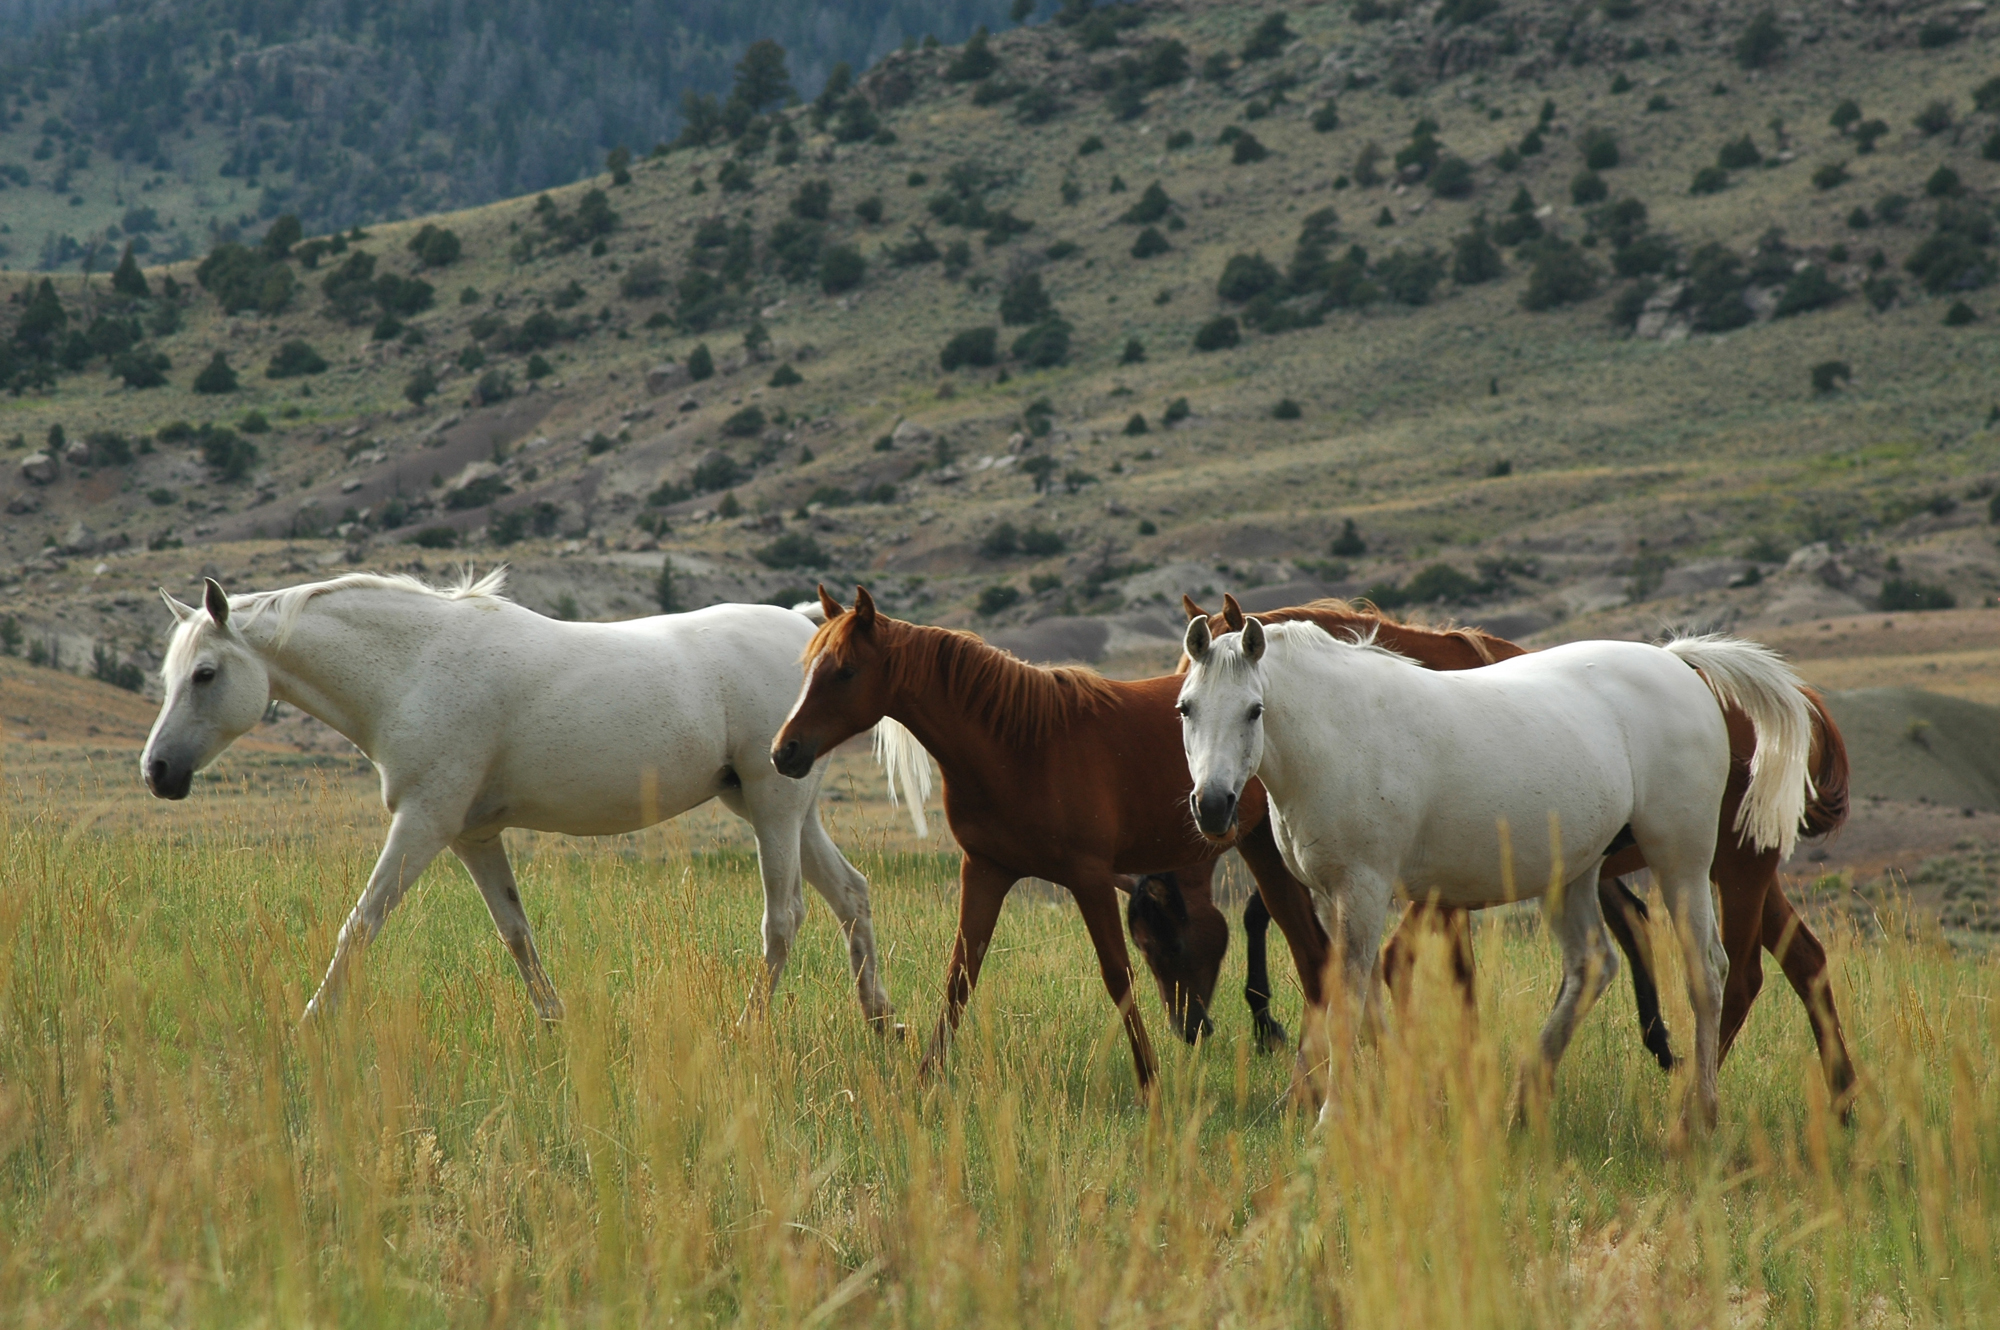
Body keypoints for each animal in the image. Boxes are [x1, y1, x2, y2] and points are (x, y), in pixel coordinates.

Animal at [141, 570, 900, 1028]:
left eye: (205, 673)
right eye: (169, 673)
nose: (157, 772)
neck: (412, 669)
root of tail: (805, 629)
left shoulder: (424, 822)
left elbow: (360, 923)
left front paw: (309, 1025)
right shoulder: (472, 836)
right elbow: (516, 934)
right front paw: (556, 1025)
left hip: (774, 809)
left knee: (785, 918)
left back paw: (748, 1028)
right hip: (783, 810)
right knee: (852, 895)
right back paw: (880, 1023)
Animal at [1141, 595, 1856, 1106]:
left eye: (1255, 710)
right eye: (1185, 708)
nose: (1212, 806)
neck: (1343, 732)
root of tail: (1679, 663)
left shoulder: (1367, 889)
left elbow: (1350, 989)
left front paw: (1334, 1112)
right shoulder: (1332, 893)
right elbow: (1356, 992)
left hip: (1684, 858)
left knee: (1709, 972)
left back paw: (1696, 1114)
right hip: (1578, 871)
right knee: (1594, 965)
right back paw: (1523, 1097)